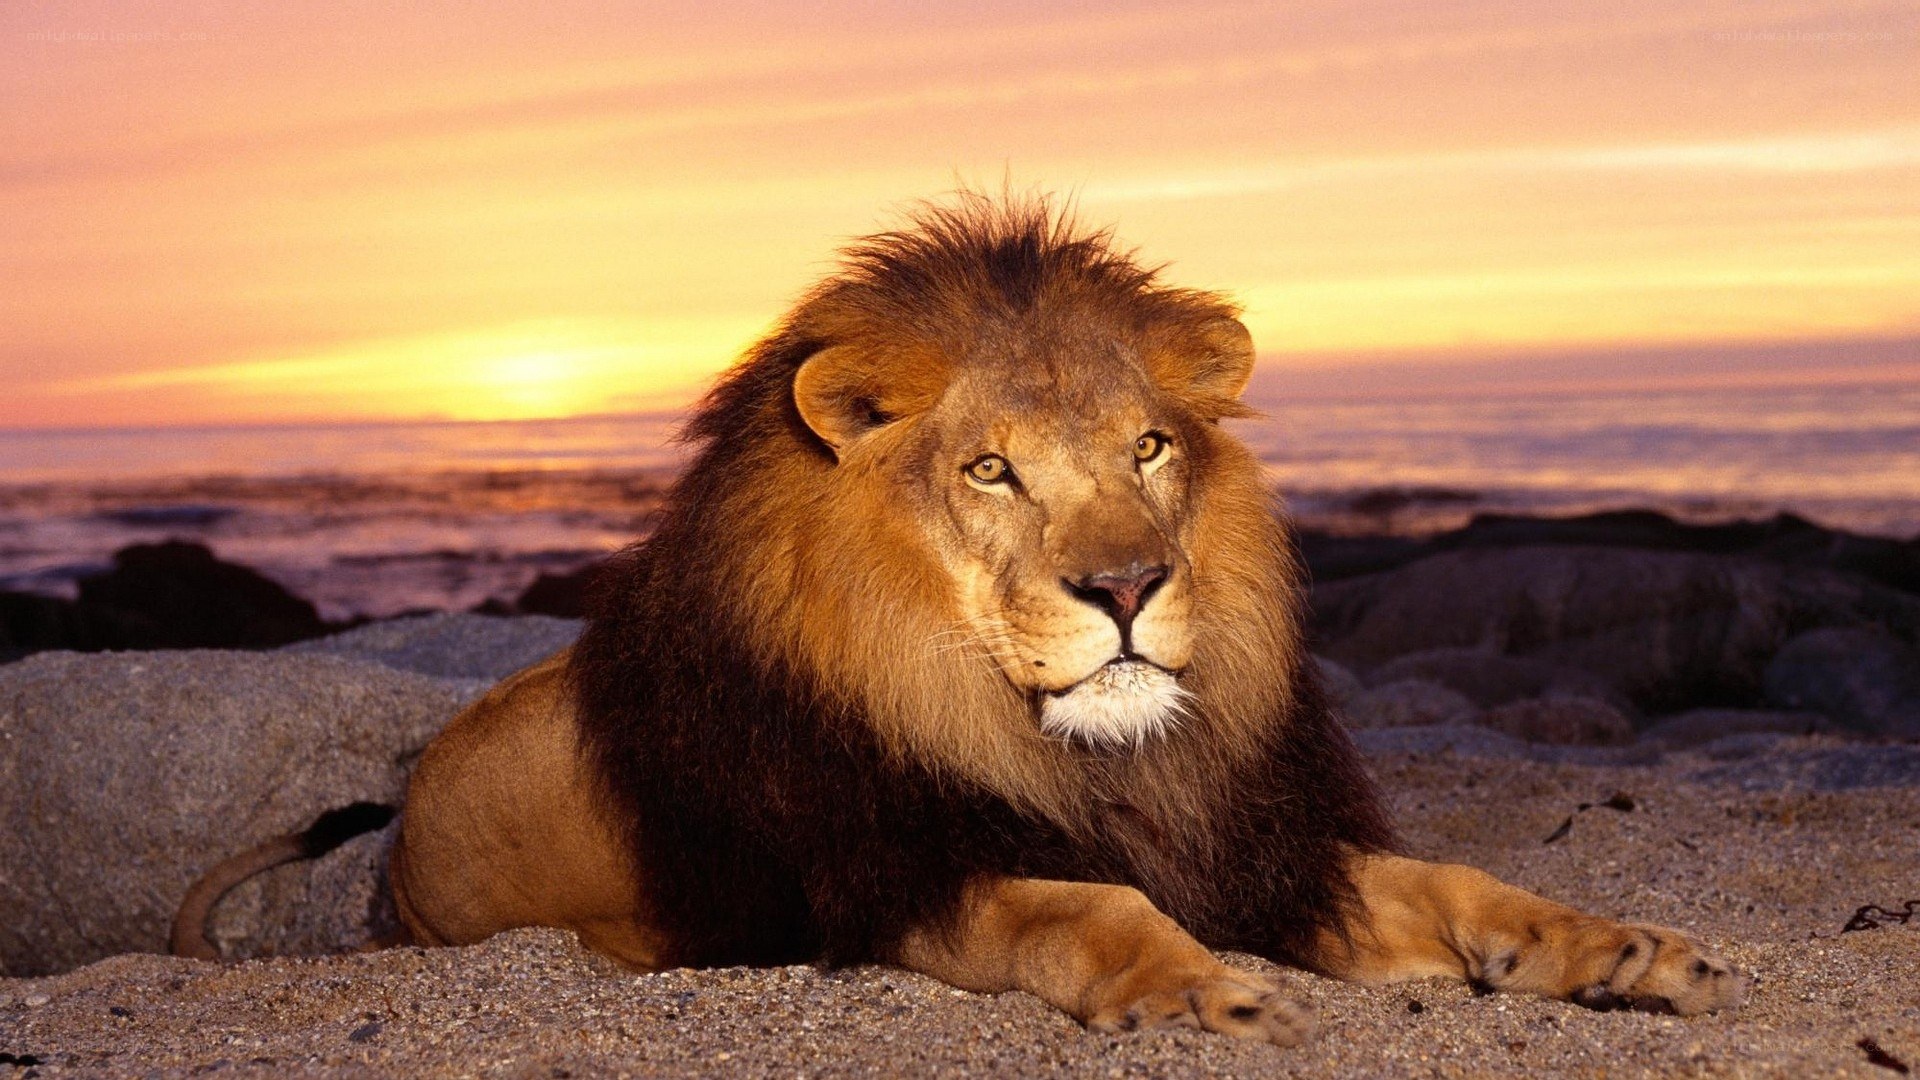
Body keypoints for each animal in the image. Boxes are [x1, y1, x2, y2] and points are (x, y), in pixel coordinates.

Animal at [187, 195, 1744, 1043]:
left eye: (1149, 450)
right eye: (992, 470)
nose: (1125, 589)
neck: (1081, 756)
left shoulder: (1256, 844)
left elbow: (1464, 887)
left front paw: (1622, 950)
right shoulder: (892, 877)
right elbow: (1083, 905)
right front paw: (1209, 994)